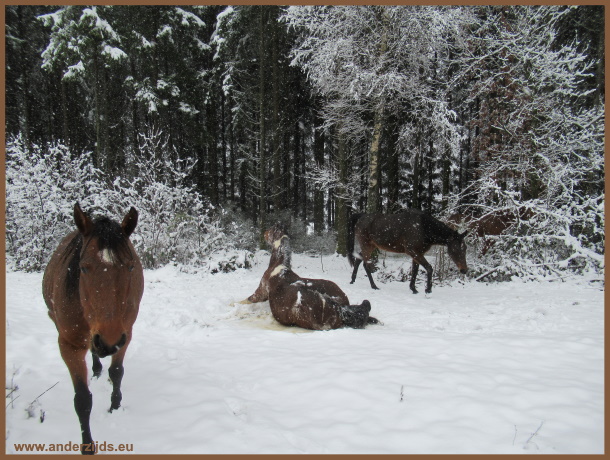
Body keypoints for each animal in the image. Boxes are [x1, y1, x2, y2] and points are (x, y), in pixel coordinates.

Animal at [41, 204, 144, 452]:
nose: (108, 341)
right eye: (84, 268)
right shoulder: (68, 345)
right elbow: (82, 400)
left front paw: (115, 407)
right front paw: (87, 445)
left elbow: (117, 372)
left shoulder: (126, 334)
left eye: (130, 266)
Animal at [239, 224, 376, 328]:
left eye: (272, 229)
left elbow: (246, 300)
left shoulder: (260, 293)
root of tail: (340, 311)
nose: (264, 233)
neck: (278, 267)